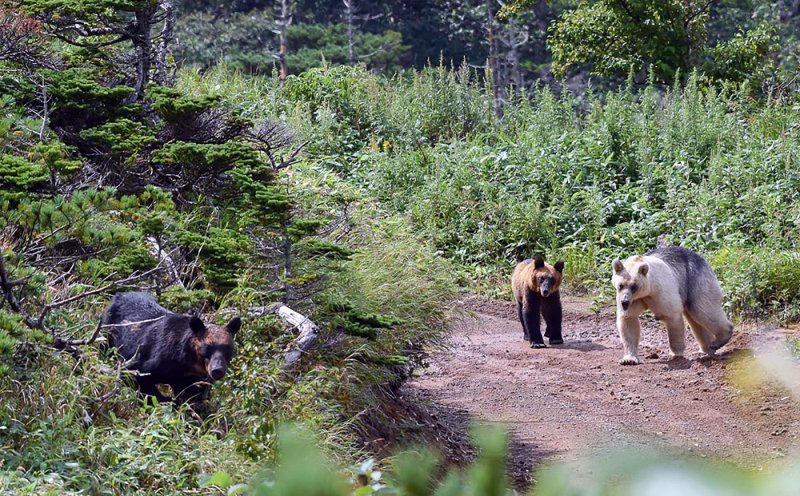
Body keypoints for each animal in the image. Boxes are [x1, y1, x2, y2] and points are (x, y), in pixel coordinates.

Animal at [99, 290, 241, 404]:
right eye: (207, 347)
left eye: (227, 347)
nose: (217, 370)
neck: (185, 362)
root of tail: (118, 294)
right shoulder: (152, 360)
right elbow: (135, 376)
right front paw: (166, 401)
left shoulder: (190, 377)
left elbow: (193, 394)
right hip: (106, 330)